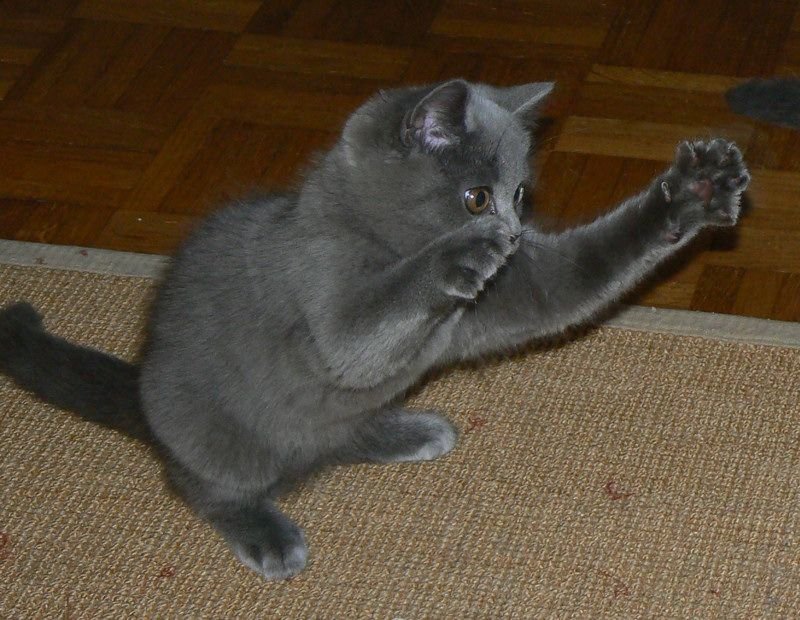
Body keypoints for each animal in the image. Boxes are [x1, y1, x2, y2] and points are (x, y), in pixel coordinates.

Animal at [0, 79, 750, 580]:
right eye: (477, 197)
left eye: (519, 195)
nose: (510, 232)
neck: (380, 233)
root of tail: (145, 396)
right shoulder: (325, 290)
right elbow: (361, 329)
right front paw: (454, 255)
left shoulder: (519, 287)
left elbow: (581, 271)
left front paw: (693, 191)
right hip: (215, 438)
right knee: (198, 483)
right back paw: (265, 532)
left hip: (336, 420)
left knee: (343, 433)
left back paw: (411, 432)